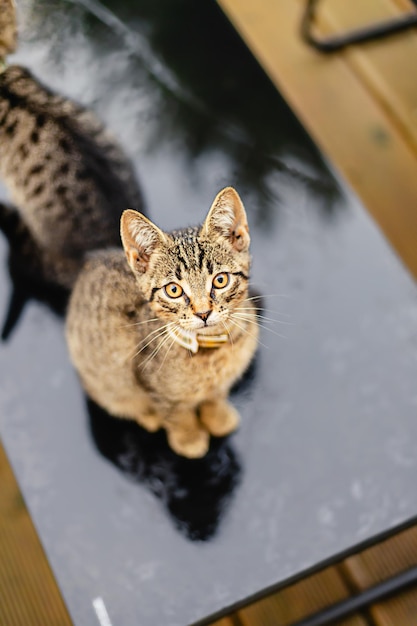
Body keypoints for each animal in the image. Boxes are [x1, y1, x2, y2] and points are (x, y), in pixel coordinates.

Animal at [66, 188, 258, 456]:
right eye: (174, 290)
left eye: (220, 280)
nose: (203, 313)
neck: (210, 352)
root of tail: (89, 261)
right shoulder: (148, 380)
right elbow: (176, 413)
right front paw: (188, 438)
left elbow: (216, 396)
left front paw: (217, 417)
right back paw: (149, 417)